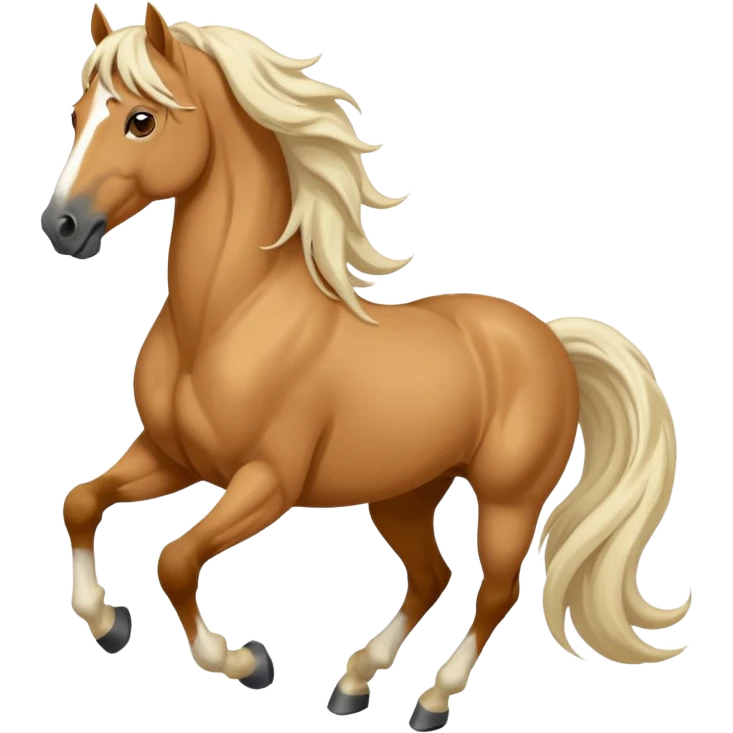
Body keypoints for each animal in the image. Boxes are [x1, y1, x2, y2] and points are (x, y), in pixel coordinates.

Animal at [45, 4, 690, 731]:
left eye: (141, 120)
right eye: (77, 113)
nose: (62, 226)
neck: (224, 320)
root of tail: (547, 336)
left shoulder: (266, 482)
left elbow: (176, 561)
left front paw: (248, 662)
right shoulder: (171, 457)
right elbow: (81, 502)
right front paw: (108, 624)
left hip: (508, 498)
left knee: (494, 589)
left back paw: (431, 700)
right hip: (404, 493)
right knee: (432, 574)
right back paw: (354, 682)